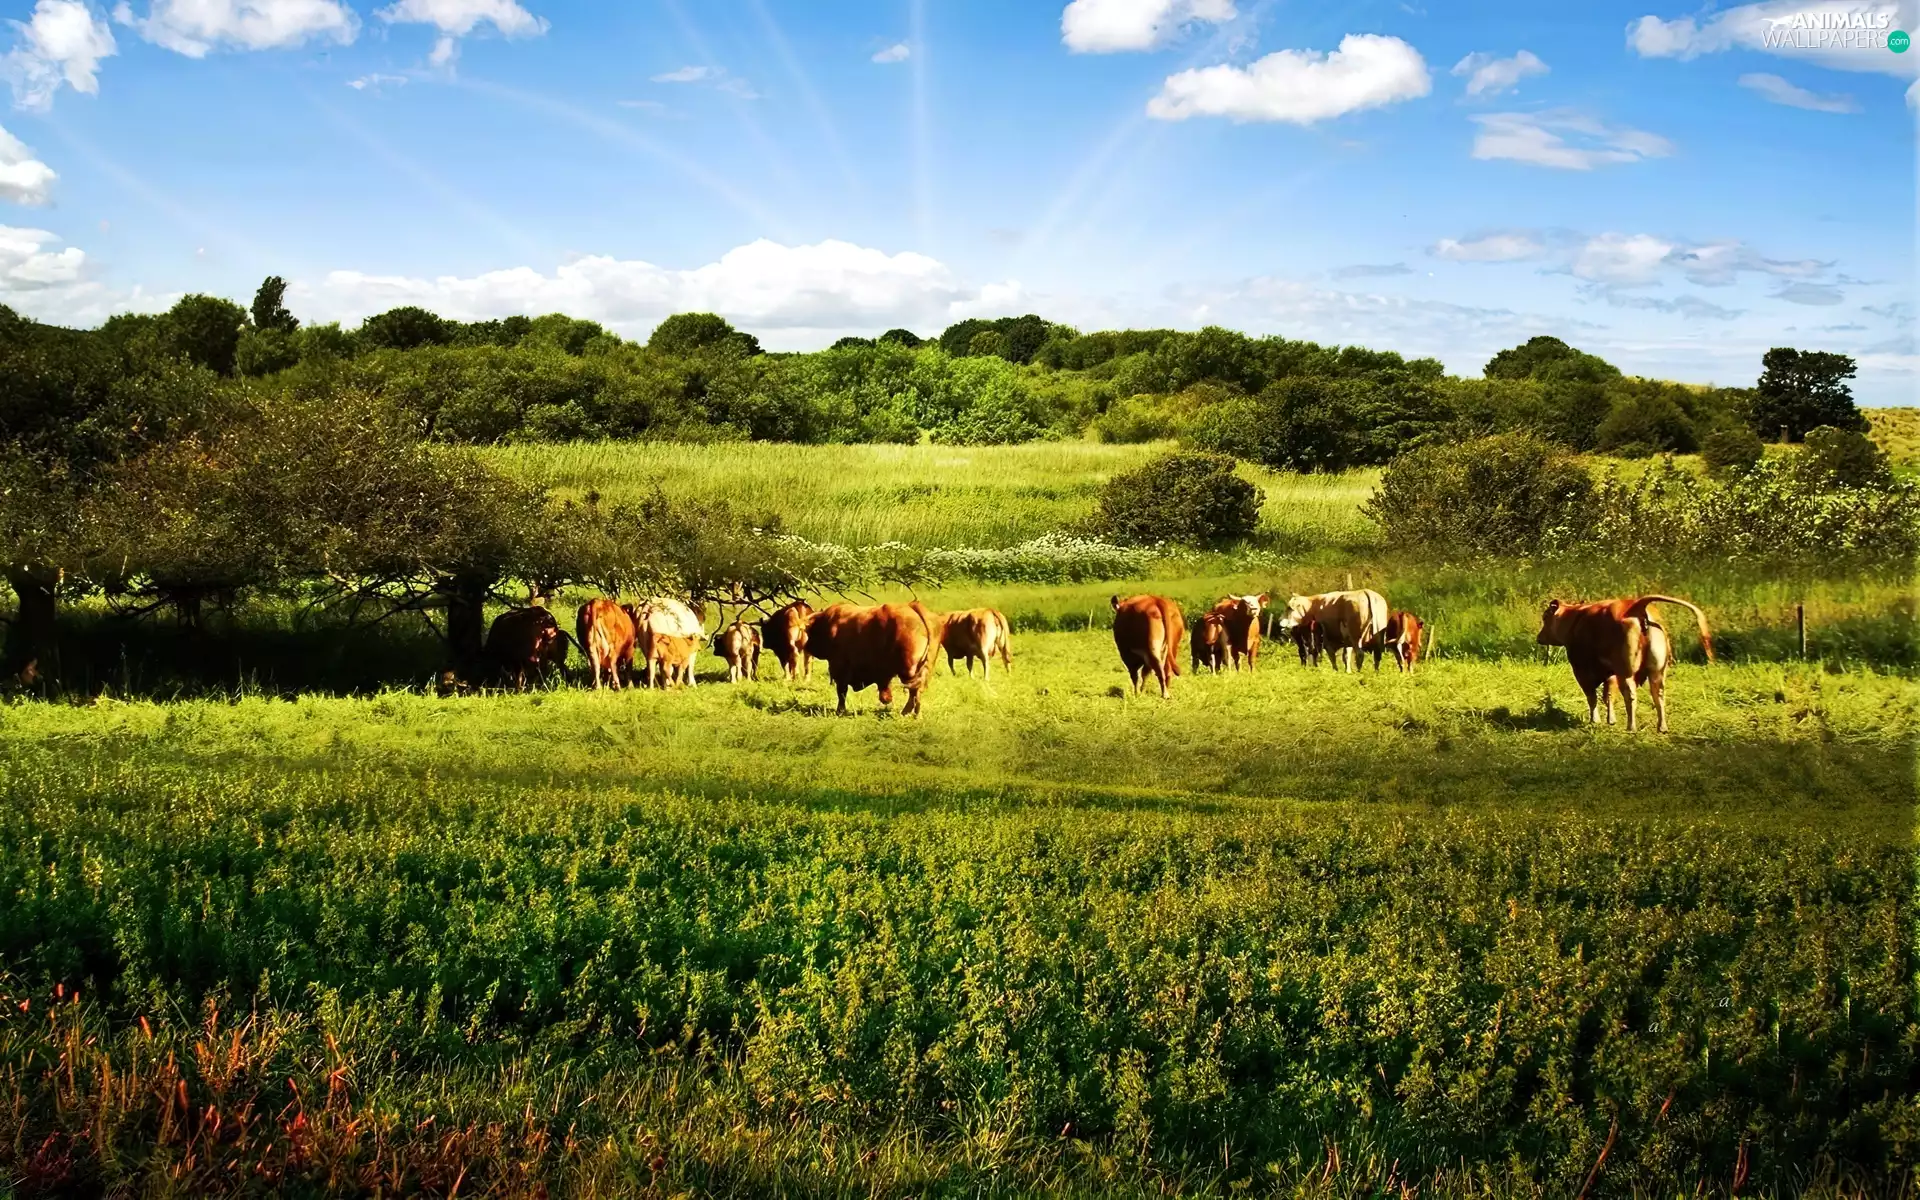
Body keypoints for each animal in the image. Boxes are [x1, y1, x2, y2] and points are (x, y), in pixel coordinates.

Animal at [804, 602, 944, 716]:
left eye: (810, 631)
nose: (807, 646)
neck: (829, 624)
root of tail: (912, 606)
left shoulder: (839, 668)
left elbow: (842, 692)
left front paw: (840, 711)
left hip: (908, 671)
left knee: (914, 691)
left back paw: (907, 713)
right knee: (917, 691)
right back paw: (914, 714)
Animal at [1536, 594, 1713, 733]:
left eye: (1545, 617)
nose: (1539, 637)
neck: (1575, 620)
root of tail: (1636, 605)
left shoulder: (1582, 671)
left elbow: (1592, 697)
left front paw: (1595, 720)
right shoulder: (1611, 673)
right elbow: (1608, 696)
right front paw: (1611, 720)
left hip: (1626, 671)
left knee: (1630, 695)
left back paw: (1631, 727)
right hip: (1657, 671)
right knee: (1659, 695)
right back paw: (1662, 727)